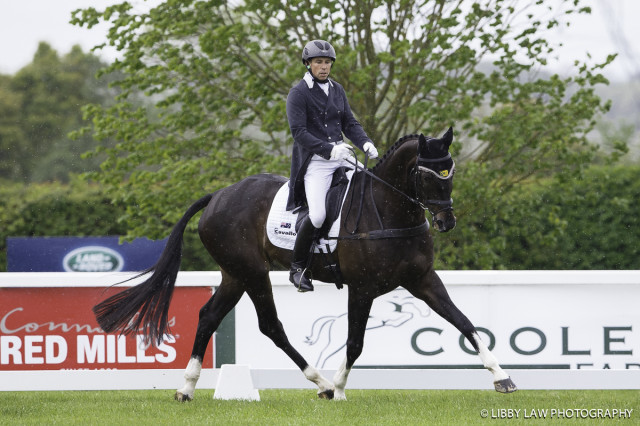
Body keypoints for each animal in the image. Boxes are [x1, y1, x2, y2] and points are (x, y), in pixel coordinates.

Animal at [92, 128, 516, 402]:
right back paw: (322, 384)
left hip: (234, 274)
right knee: (270, 325)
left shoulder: (423, 280)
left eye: (450, 171)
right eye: (427, 176)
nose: (446, 222)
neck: (387, 210)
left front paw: (502, 377)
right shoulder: (362, 288)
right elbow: (355, 341)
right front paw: (341, 389)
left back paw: (187, 387)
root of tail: (219, 195)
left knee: (210, 315)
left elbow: (464, 323)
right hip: (252, 273)